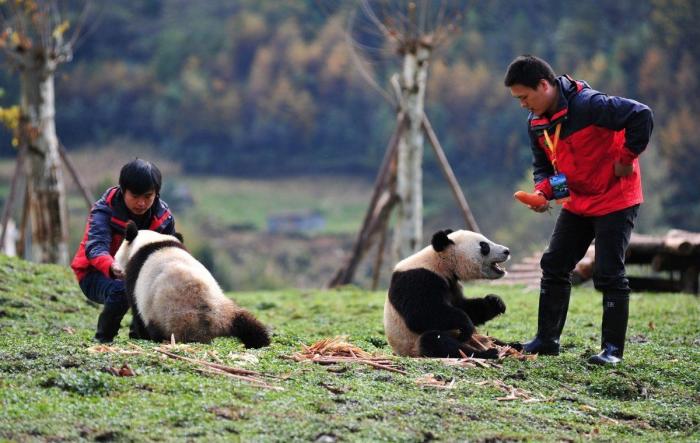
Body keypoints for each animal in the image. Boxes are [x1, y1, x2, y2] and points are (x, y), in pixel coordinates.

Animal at [114, 221, 270, 347]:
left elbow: (136, 310)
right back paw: (260, 341)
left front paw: (138, 335)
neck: (152, 241)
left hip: (164, 317)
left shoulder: (135, 277)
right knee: (248, 324)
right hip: (225, 309)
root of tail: (209, 324)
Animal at [384, 229, 511, 359]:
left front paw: (495, 302)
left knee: (495, 340)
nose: (506, 251)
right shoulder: (417, 278)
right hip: (413, 345)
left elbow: (463, 306)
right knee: (435, 341)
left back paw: (511, 347)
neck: (440, 261)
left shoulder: (452, 283)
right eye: (484, 246)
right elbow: (419, 314)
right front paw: (466, 325)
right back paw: (487, 353)